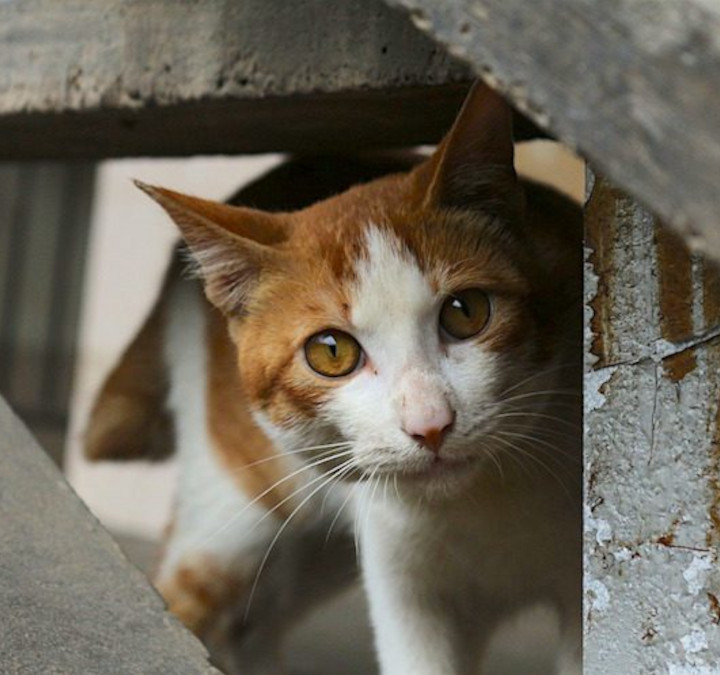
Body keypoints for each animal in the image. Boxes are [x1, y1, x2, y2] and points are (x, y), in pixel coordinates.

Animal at [84, 82, 584, 672]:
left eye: (466, 312)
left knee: (255, 619)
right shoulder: (407, 587)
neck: (481, 499)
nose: (430, 425)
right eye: (331, 352)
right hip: (241, 503)